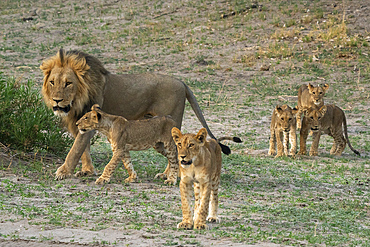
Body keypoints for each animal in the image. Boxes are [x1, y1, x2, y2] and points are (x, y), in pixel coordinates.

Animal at [40, 49, 231, 180]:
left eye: (68, 83)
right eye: (52, 82)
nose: (57, 101)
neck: (76, 100)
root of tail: (182, 82)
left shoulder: (91, 122)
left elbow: (75, 149)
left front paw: (63, 172)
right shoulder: (78, 123)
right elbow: (83, 149)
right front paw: (87, 170)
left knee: (177, 150)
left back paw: (169, 175)